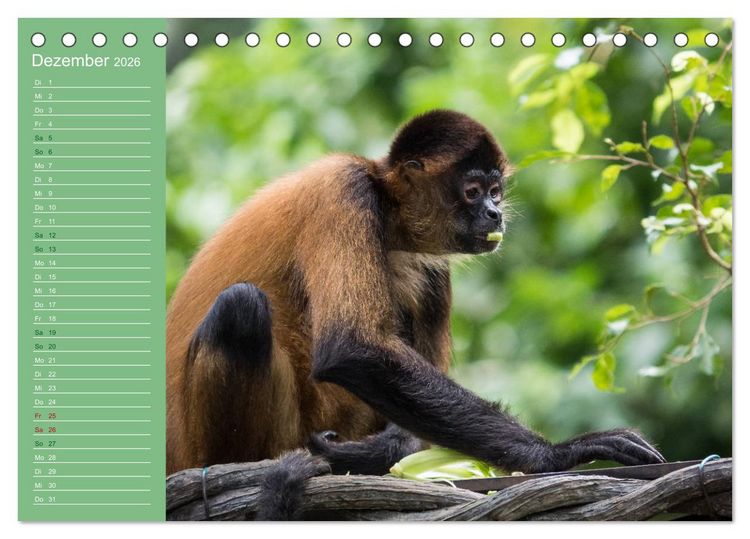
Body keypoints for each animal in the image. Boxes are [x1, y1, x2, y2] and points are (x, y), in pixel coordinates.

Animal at [166, 109, 665, 518]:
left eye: (496, 192)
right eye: (473, 192)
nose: (495, 214)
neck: (387, 215)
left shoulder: (431, 261)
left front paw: (383, 450)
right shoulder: (343, 192)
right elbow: (350, 348)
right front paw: (559, 454)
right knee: (240, 308)